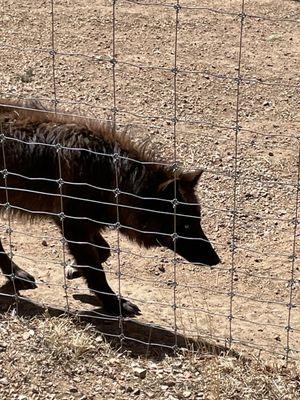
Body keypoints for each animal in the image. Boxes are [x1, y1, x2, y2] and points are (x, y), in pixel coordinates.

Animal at [0, 99, 220, 316]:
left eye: (198, 221)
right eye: (185, 226)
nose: (216, 259)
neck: (109, 175)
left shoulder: (71, 221)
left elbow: (104, 251)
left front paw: (75, 268)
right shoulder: (74, 225)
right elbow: (96, 271)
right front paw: (115, 304)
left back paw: (16, 274)